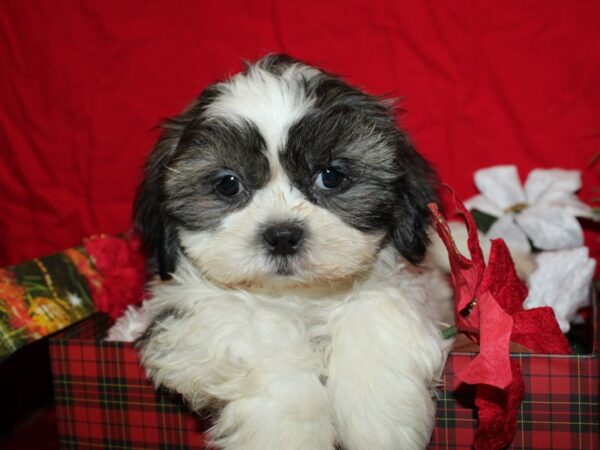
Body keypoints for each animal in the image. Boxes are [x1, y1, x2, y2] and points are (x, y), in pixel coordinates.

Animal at [110, 55, 452, 450]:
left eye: (331, 176)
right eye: (227, 184)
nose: (283, 235)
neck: (296, 297)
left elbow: (375, 305)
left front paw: (380, 418)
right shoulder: (190, 313)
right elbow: (261, 335)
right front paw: (290, 432)